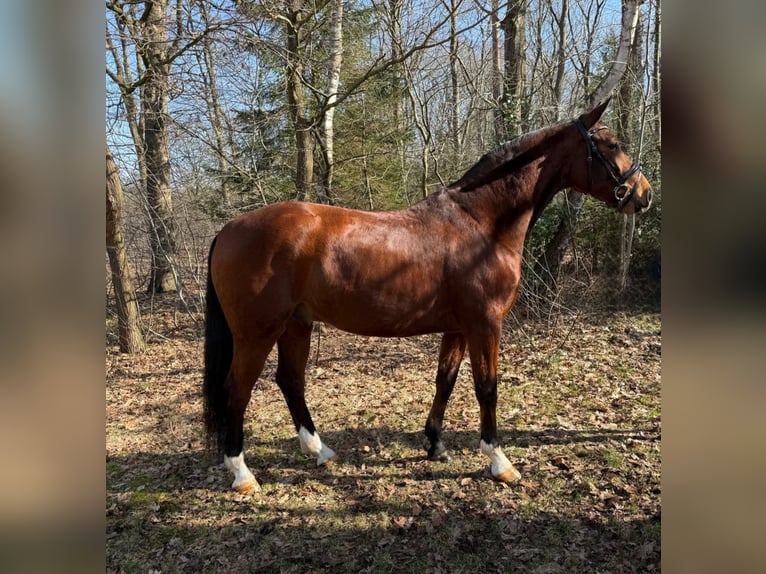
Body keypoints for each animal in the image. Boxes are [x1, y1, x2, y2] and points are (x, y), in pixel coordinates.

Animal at [202, 99, 652, 493]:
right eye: (611, 145)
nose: (643, 194)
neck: (480, 224)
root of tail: (228, 229)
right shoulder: (485, 324)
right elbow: (486, 387)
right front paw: (499, 462)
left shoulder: (458, 328)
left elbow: (446, 381)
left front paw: (435, 444)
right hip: (257, 332)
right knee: (236, 390)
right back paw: (242, 474)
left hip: (297, 323)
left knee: (290, 380)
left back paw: (320, 451)